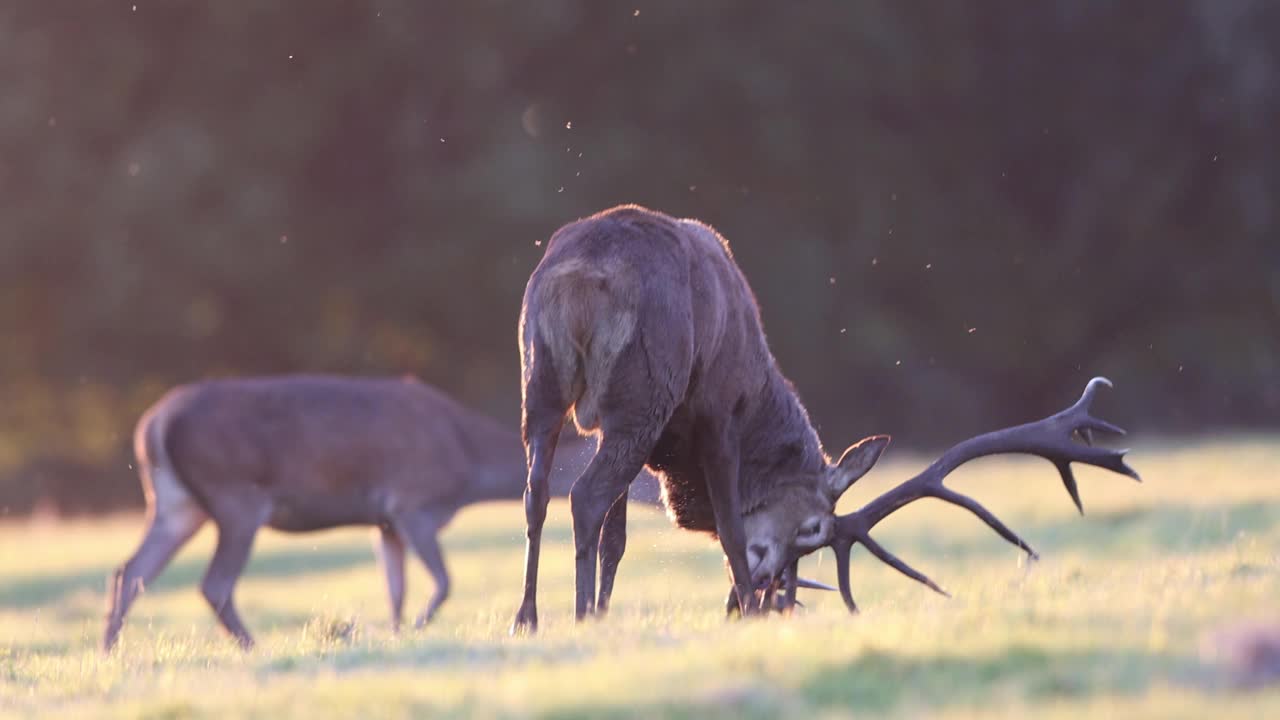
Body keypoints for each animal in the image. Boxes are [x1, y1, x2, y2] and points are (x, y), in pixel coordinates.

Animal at [102, 371, 660, 648]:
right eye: (647, 470)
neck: (466, 468)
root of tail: (152, 425)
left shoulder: (386, 521)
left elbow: (395, 589)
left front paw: (395, 633)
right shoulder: (413, 503)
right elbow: (442, 583)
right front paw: (416, 629)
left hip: (177, 502)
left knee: (130, 570)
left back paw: (111, 650)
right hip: (235, 496)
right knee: (213, 583)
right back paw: (252, 647)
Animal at [509, 202, 1141, 627]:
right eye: (814, 527)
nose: (768, 582)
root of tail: (581, 276)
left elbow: (619, 539)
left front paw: (613, 610)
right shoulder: (716, 413)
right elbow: (730, 526)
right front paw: (747, 607)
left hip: (539, 381)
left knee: (537, 492)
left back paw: (530, 616)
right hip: (643, 392)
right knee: (583, 494)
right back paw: (575, 613)